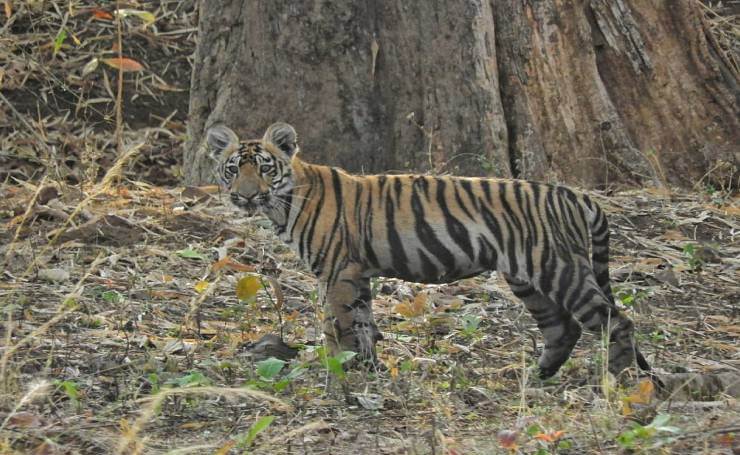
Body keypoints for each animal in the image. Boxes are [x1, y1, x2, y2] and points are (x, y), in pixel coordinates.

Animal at [205, 122, 652, 382]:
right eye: (233, 168)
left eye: (264, 167)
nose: (246, 196)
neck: (284, 200)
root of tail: (576, 195)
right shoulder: (357, 274)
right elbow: (364, 323)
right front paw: (370, 368)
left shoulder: (337, 272)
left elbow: (339, 325)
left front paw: (341, 371)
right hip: (527, 277)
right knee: (563, 329)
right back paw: (535, 377)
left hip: (557, 268)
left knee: (617, 321)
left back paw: (617, 381)